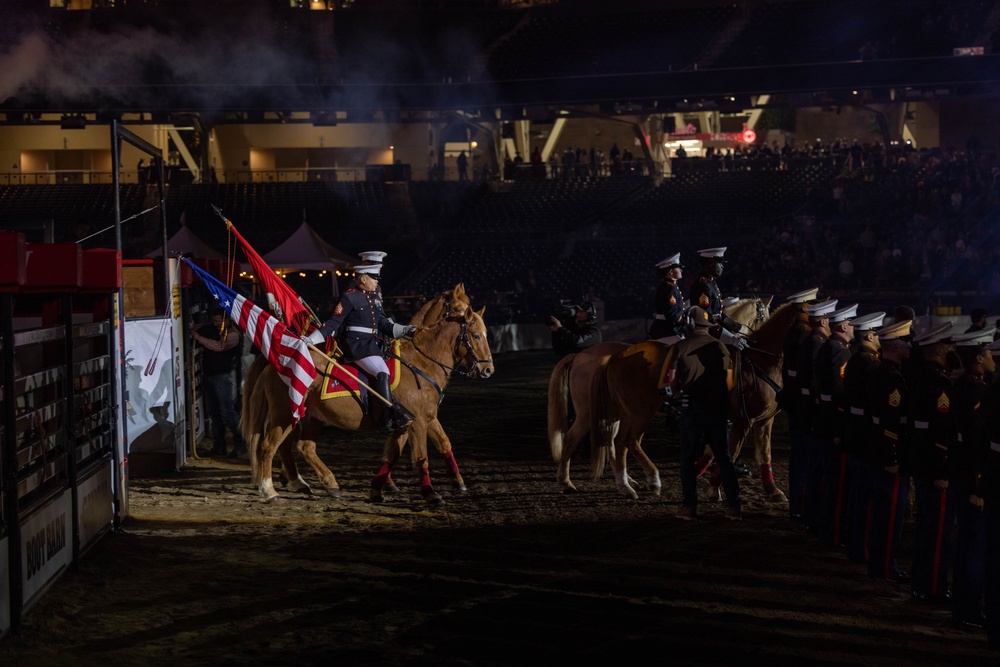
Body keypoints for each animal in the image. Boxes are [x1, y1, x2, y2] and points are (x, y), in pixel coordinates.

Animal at [240, 306, 494, 504]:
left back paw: (325, 484)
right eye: (476, 336)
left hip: (310, 418)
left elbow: (417, 449)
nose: (488, 370)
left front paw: (377, 490)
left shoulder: (420, 420)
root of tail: (276, 363)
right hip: (284, 415)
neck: (421, 364)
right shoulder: (418, 422)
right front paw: (431, 494)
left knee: (303, 448)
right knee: (268, 447)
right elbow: (420, 457)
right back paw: (270, 491)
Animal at [548, 294, 772, 494]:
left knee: (611, 443)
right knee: (573, 438)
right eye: (764, 317)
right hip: (591, 413)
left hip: (612, 412)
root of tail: (578, 356)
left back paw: (627, 480)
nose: (756, 343)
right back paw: (567, 482)